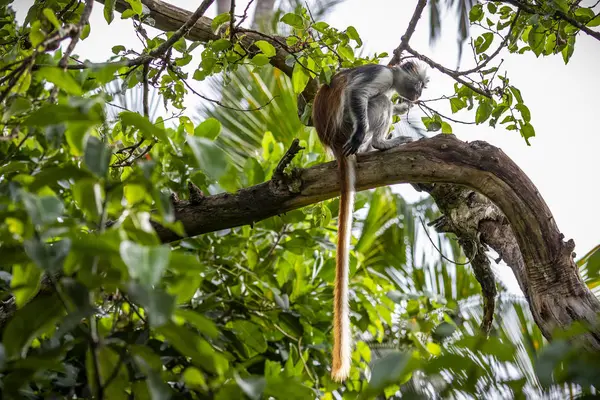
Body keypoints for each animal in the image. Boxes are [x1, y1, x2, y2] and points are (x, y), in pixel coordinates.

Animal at [312, 61, 428, 382]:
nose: (418, 95)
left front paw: (404, 107)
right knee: (377, 102)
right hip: (346, 128)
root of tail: (334, 144)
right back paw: (378, 143)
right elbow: (358, 93)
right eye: (419, 84)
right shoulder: (382, 75)